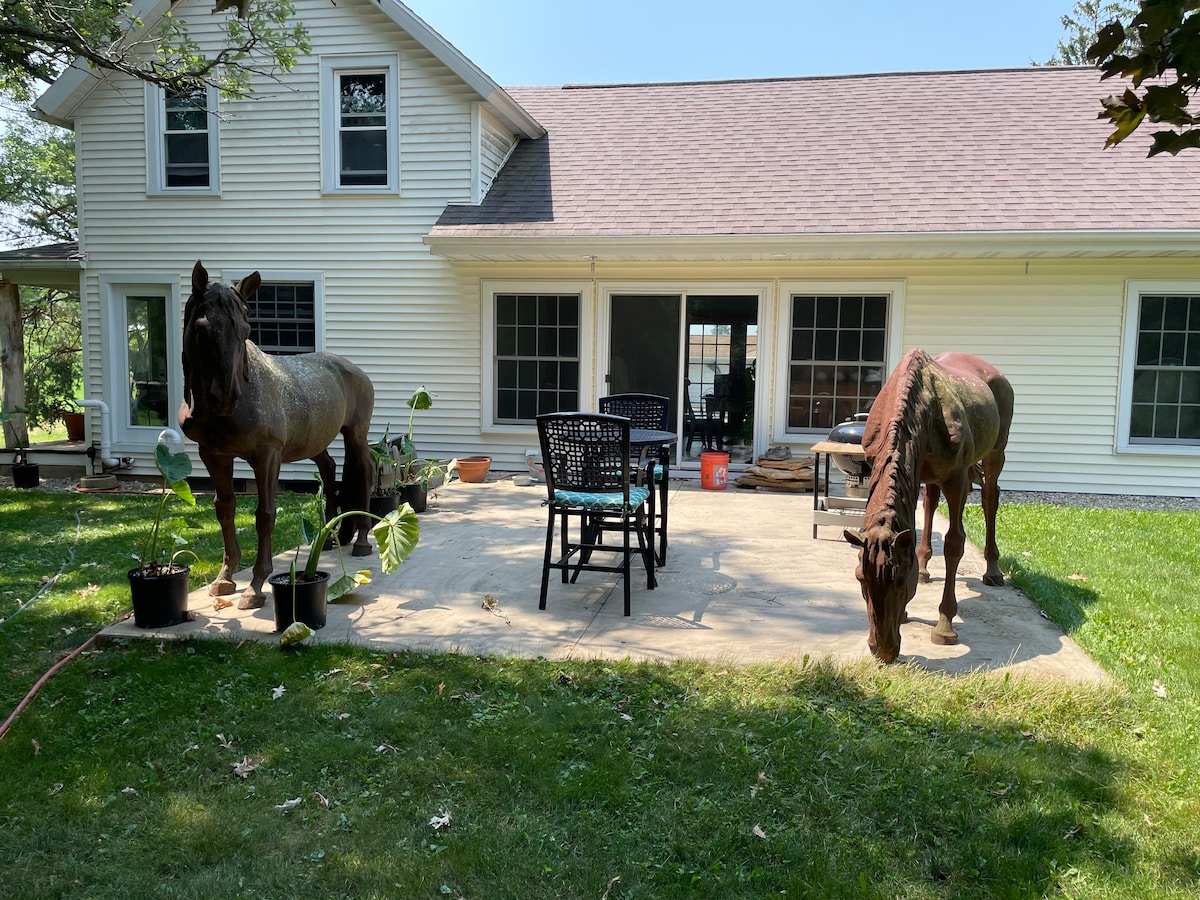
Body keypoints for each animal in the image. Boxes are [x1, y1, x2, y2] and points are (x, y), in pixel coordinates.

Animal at [177, 260, 372, 614]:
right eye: (202, 329)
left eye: (246, 330)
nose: (226, 398)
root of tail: (354, 369)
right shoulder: (213, 454)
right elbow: (224, 508)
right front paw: (224, 578)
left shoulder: (266, 455)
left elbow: (265, 515)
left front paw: (255, 586)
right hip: (316, 442)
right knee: (328, 469)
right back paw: (329, 536)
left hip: (356, 435)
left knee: (364, 473)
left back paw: (362, 540)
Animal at [844, 348, 1012, 667]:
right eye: (860, 578)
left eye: (899, 580)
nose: (882, 650)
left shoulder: (957, 478)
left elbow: (955, 544)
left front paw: (944, 626)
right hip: (930, 475)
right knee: (931, 504)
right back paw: (924, 568)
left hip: (996, 453)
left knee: (990, 497)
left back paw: (993, 570)